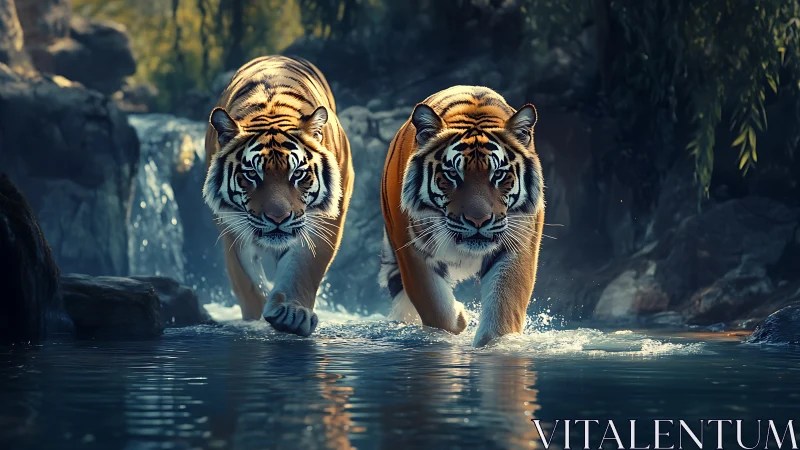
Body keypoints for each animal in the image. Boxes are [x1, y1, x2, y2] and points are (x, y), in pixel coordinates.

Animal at [203, 55, 353, 337]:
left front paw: (291, 314)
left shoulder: (325, 219)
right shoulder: (232, 227)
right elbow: (248, 282)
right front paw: (257, 320)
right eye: (252, 174)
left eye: (298, 174)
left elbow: (303, 265)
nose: (278, 218)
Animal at [379, 85, 545, 347]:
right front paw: (459, 320)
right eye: (452, 174)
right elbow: (436, 308)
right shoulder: (411, 249)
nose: (478, 220)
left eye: (498, 174)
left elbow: (504, 310)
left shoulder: (518, 243)